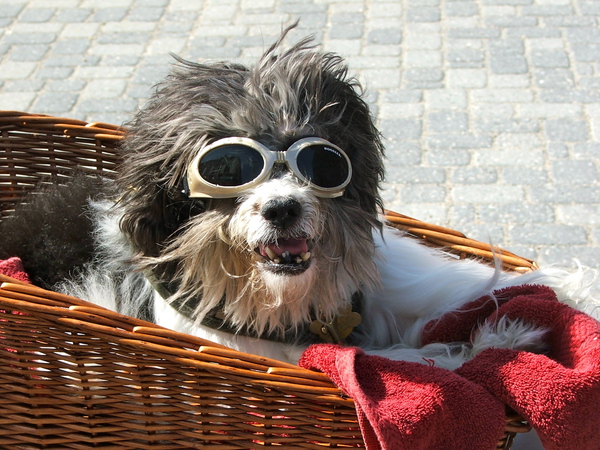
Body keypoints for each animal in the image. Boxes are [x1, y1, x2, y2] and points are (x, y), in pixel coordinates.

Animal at [2, 26, 596, 370]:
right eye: (224, 169)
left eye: (323, 160)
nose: (282, 207)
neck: (297, 304)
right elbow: (416, 359)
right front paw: (498, 342)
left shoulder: (401, 283)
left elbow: (477, 284)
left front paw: (566, 294)